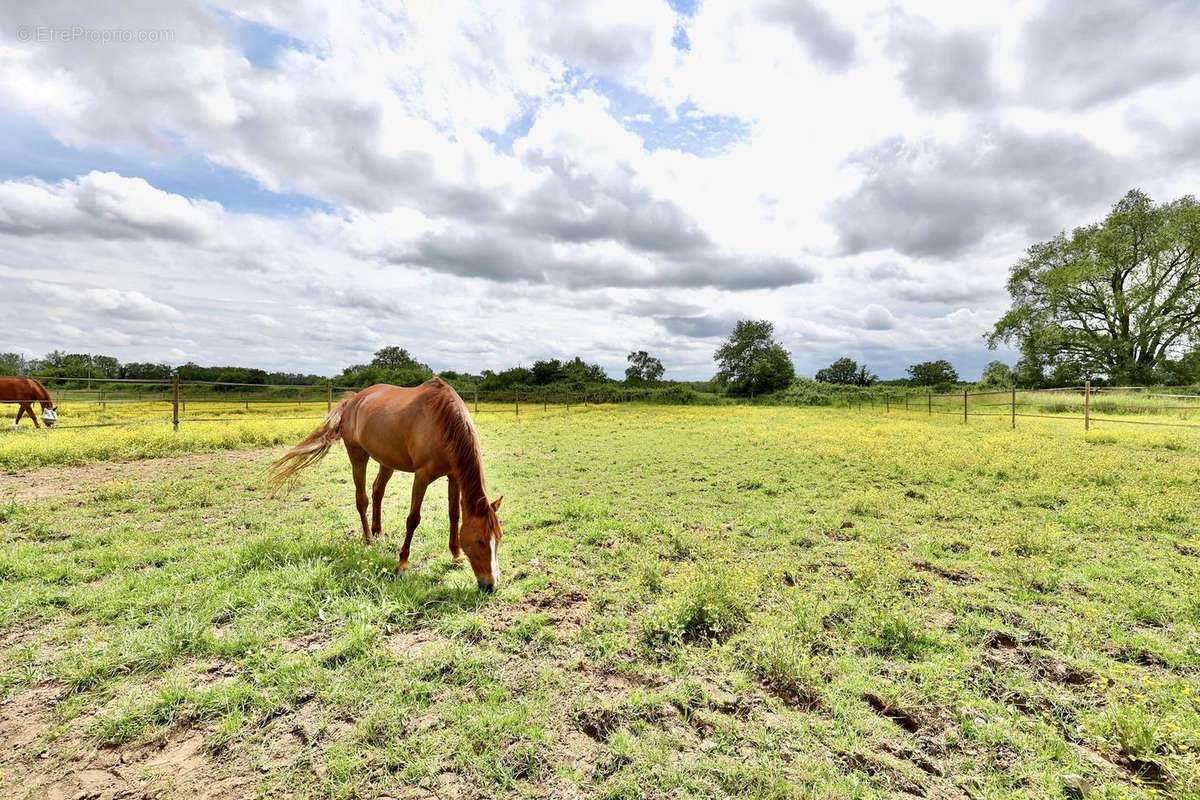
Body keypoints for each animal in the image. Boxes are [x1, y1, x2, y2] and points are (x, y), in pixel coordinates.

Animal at [270, 379, 504, 592]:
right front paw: (402, 564)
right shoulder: (422, 477)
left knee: (377, 491)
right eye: (480, 541)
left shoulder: (453, 476)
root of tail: (353, 401)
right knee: (362, 499)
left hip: (387, 462)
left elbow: (454, 515)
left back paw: (377, 532)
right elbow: (413, 519)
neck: (442, 422)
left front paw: (456, 556)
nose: (490, 585)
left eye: (499, 538)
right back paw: (368, 541)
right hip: (358, 456)